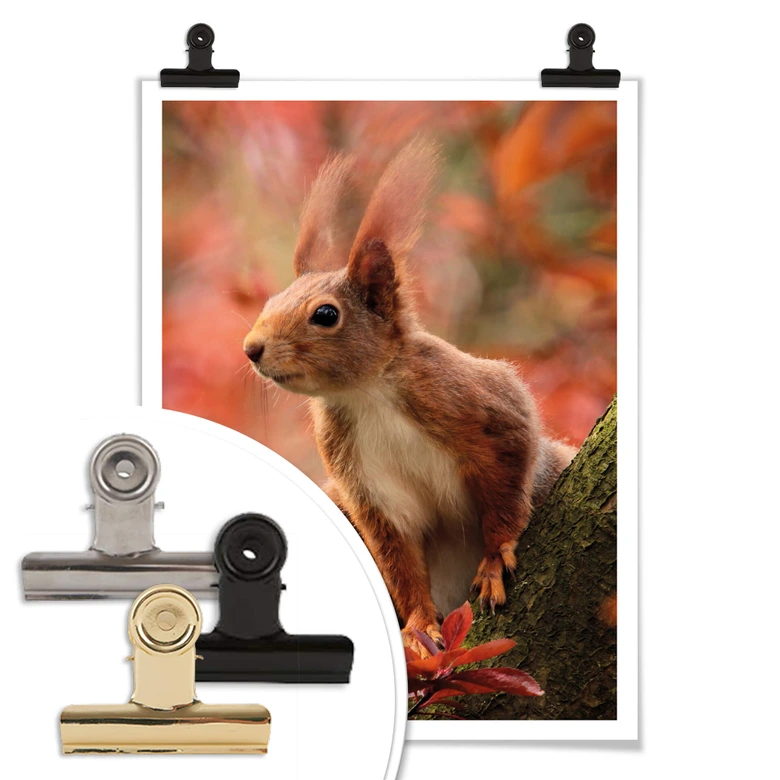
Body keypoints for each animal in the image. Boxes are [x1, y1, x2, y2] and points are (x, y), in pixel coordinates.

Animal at [243, 140, 576, 657]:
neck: (365, 394)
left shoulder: (482, 406)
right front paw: (418, 629)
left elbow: (507, 480)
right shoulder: (365, 486)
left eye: (326, 314)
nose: (251, 348)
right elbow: (398, 556)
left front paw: (495, 559)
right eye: (269, 302)